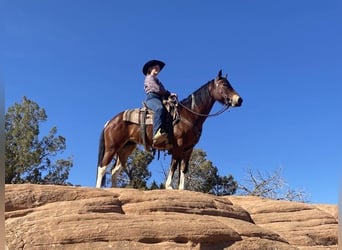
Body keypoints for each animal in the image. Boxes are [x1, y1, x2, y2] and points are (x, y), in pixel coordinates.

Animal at [95, 69, 242, 188]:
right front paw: (169, 186)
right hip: (112, 147)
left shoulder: (188, 149)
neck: (189, 115)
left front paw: (182, 189)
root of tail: (110, 121)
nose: (239, 100)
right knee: (102, 167)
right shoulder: (177, 146)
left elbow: (183, 169)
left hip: (126, 148)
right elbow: (174, 165)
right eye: (224, 84)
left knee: (115, 170)